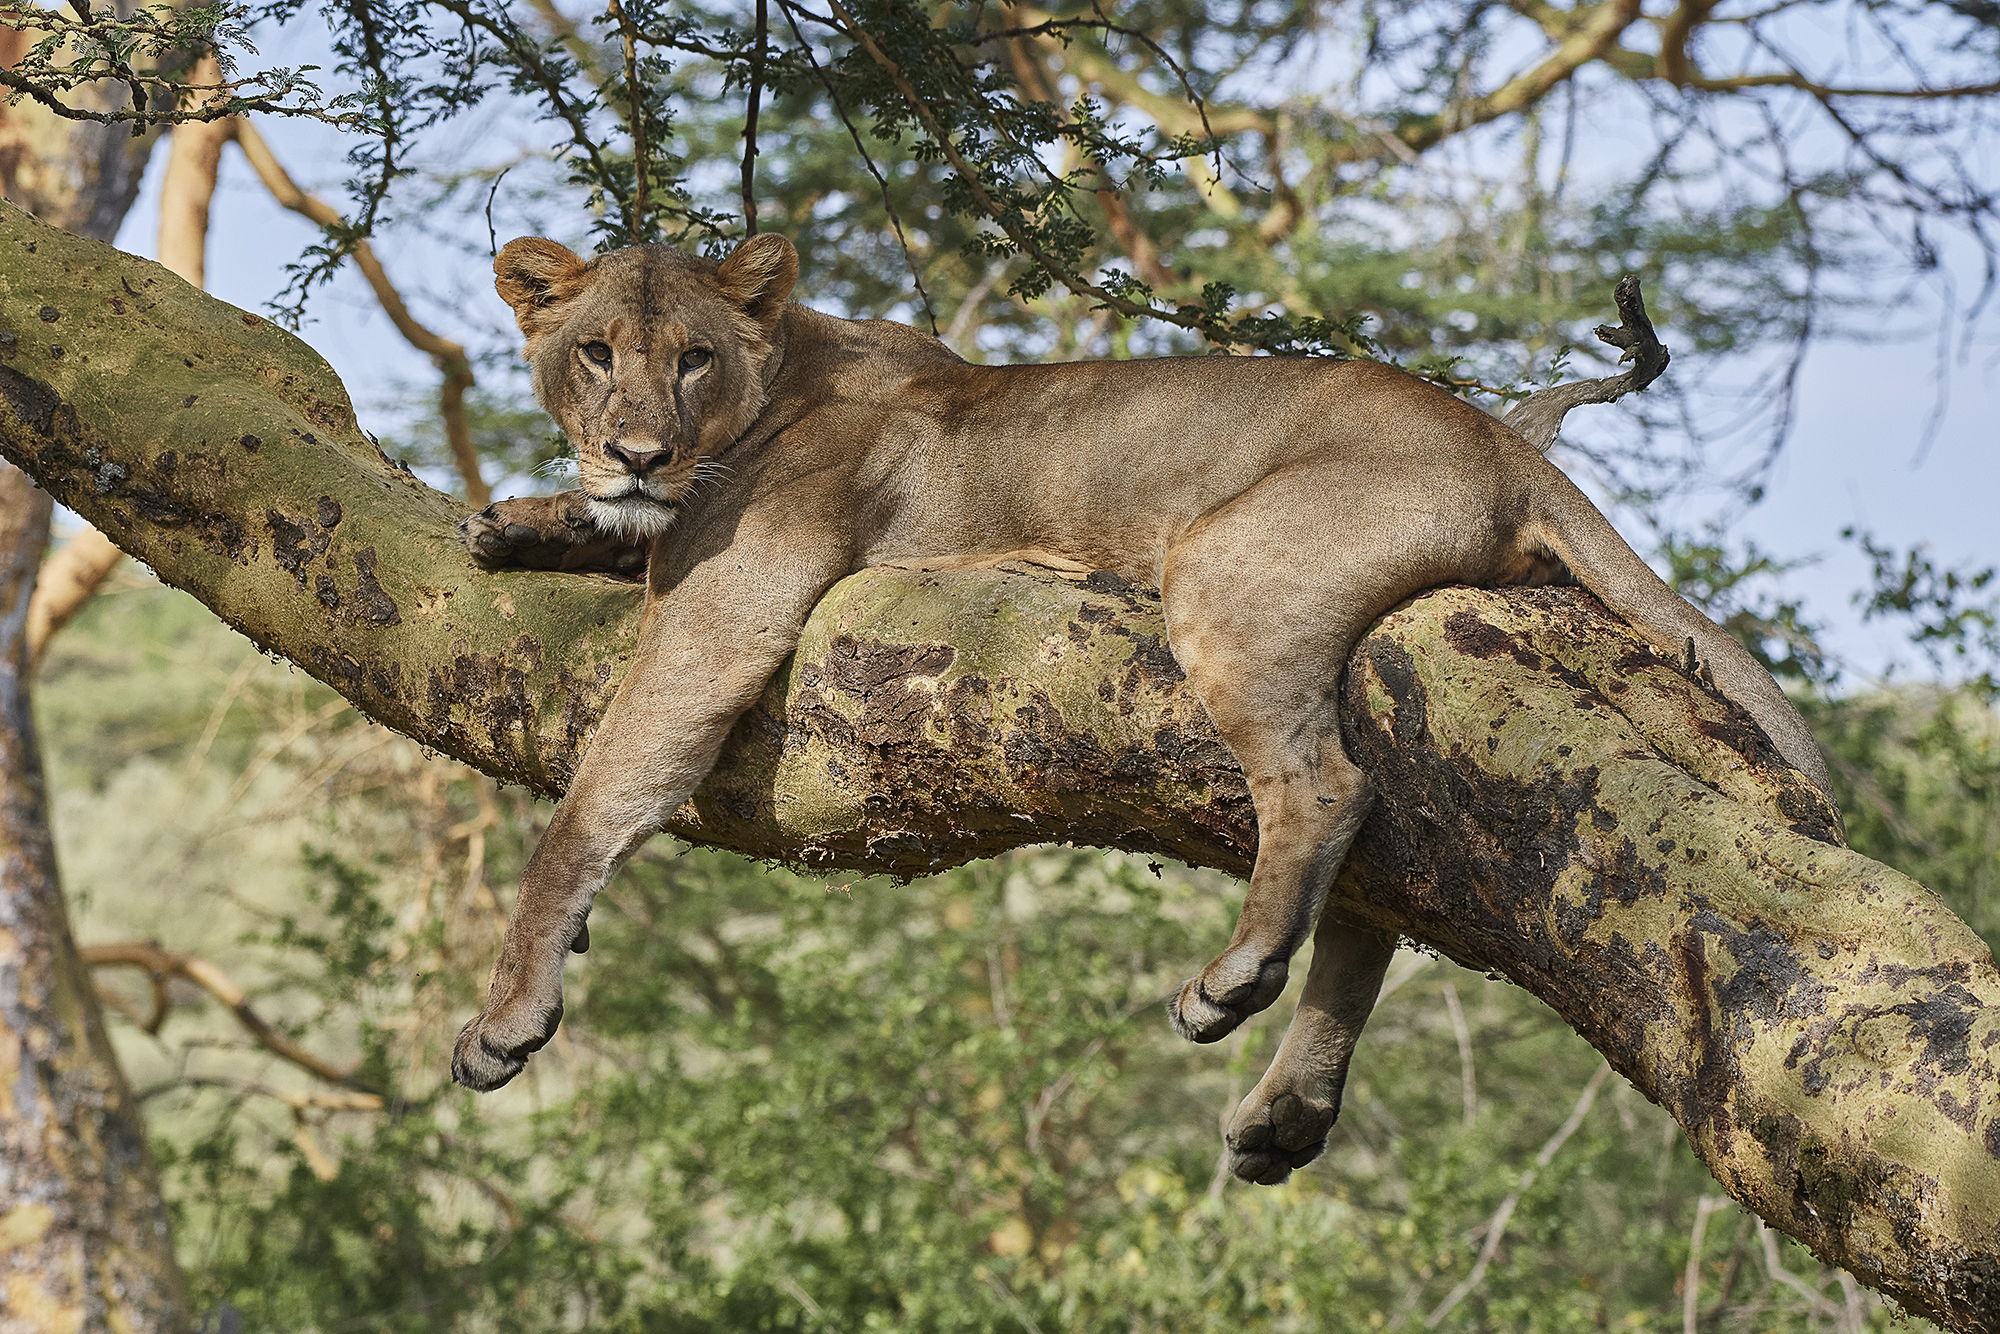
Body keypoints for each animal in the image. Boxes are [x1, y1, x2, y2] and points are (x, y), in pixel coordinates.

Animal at [451, 231, 1832, 1185]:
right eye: (595, 352)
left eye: (691, 357)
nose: (635, 450)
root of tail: (1502, 442)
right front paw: (525, 521)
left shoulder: (727, 613)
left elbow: (587, 810)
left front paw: (506, 1016)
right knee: (1385, 871)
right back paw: (1286, 1112)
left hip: (1221, 566)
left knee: (1326, 792)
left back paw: (1232, 979)